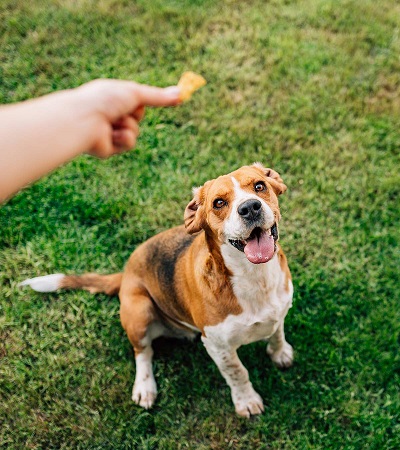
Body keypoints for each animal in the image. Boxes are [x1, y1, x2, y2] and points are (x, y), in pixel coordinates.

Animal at [19, 163, 294, 418]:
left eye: (259, 186)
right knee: (143, 352)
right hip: (139, 311)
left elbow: (277, 333)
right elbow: (238, 373)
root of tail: (126, 273)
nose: (250, 207)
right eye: (219, 203)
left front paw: (280, 353)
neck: (254, 277)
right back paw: (145, 387)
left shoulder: (279, 311)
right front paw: (246, 401)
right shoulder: (219, 347)